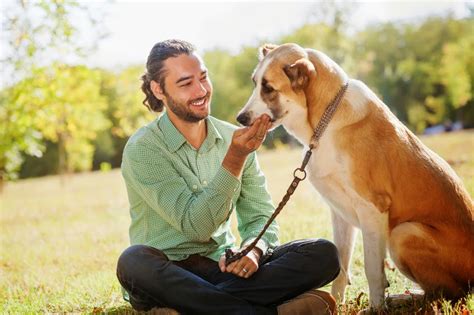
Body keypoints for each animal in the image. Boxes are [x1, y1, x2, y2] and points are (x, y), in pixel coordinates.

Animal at [237, 43, 474, 310]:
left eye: (268, 87)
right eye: (255, 83)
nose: (240, 118)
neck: (325, 120)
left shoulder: (372, 209)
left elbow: (373, 269)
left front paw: (376, 309)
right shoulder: (340, 213)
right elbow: (341, 266)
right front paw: (338, 305)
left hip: (404, 233)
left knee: (449, 293)